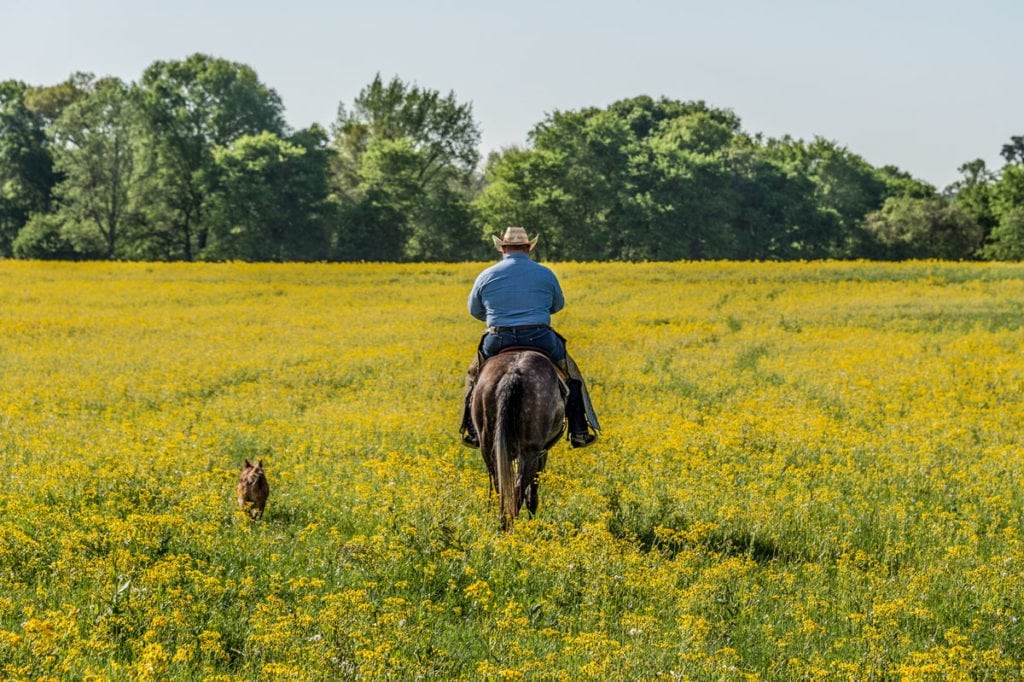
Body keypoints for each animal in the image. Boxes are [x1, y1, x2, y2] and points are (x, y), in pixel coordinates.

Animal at [468, 348, 565, 528]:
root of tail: (513, 373)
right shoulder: (542, 453)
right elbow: (532, 493)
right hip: (530, 452)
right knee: (518, 491)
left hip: (489, 447)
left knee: (502, 487)